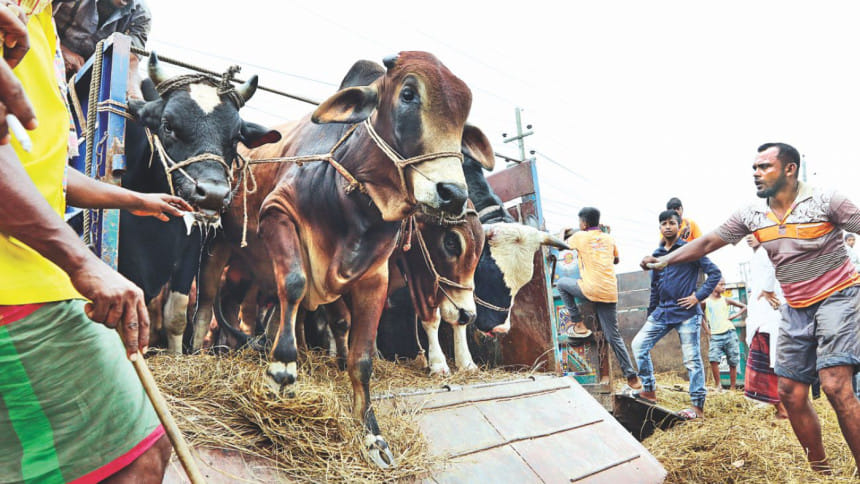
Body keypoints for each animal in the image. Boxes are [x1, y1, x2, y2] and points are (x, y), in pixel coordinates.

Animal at [115, 53, 279, 354]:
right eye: (168, 125)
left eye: (235, 138)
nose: (213, 193)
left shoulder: (191, 249)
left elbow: (176, 315)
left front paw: (177, 355)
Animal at [195, 52, 484, 467]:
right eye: (408, 94)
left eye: (463, 119)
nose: (453, 194)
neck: (353, 200)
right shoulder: (277, 214)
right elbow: (295, 286)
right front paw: (282, 370)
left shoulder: (373, 279)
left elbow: (361, 357)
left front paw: (373, 436)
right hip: (217, 247)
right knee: (206, 304)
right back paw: (191, 354)